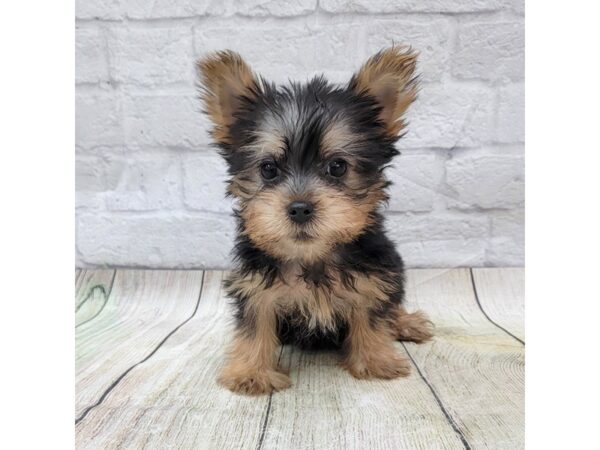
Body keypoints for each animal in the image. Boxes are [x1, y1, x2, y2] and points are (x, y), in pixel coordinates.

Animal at [195, 47, 434, 396]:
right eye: (268, 169)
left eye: (337, 167)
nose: (299, 209)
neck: (310, 257)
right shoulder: (256, 284)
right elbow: (255, 324)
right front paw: (251, 372)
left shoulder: (372, 277)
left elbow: (371, 314)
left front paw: (374, 359)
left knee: (392, 305)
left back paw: (405, 322)